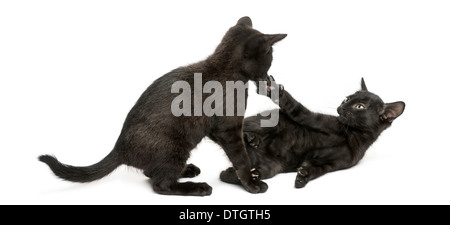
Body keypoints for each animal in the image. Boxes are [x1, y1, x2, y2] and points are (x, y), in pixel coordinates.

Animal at [37, 16, 286, 196]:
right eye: (270, 58)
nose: (267, 77)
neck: (225, 68)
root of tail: (119, 149)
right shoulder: (227, 127)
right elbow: (240, 158)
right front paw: (251, 183)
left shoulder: (216, 128)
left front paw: (251, 139)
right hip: (174, 147)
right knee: (160, 184)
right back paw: (197, 187)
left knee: (152, 172)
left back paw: (188, 170)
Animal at [220, 77, 406, 188]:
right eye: (347, 99)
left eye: (359, 106)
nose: (341, 107)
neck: (351, 135)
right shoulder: (309, 118)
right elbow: (293, 105)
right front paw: (273, 89)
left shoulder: (333, 164)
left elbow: (318, 169)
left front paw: (303, 176)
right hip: (267, 125)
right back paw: (251, 138)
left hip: (272, 167)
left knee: (228, 174)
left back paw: (248, 174)